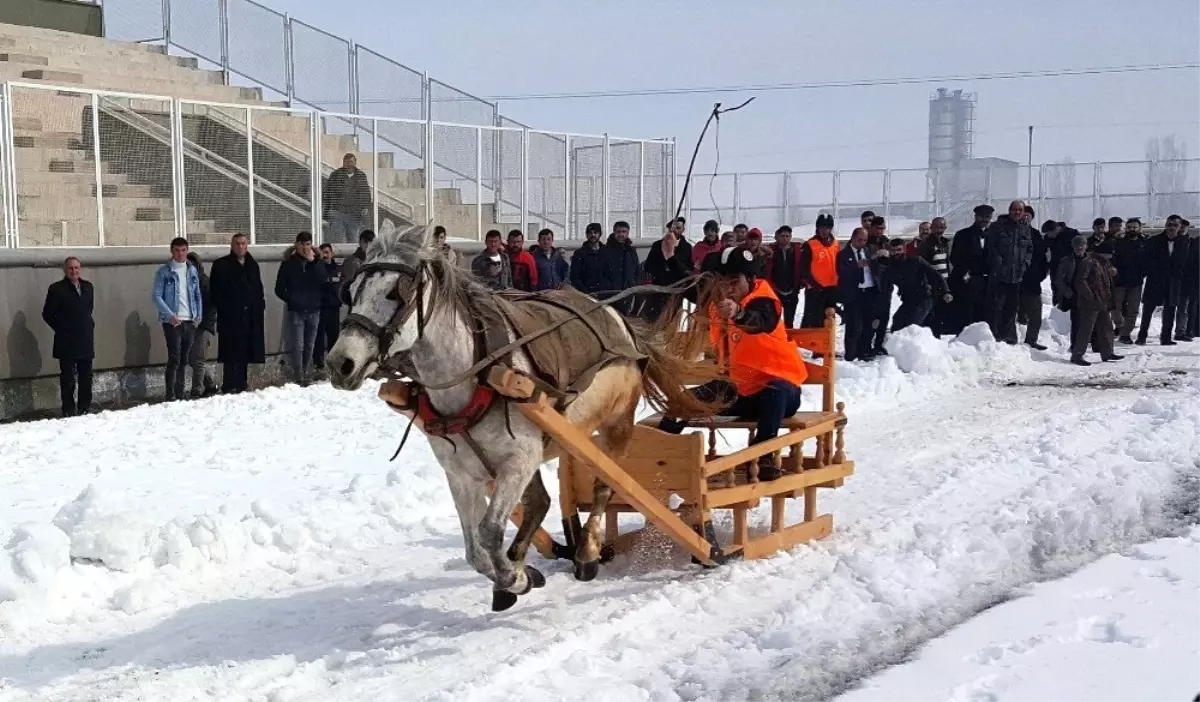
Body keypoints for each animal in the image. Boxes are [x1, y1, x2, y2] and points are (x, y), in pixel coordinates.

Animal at [324, 224, 715, 607]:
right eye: (352, 290)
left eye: (396, 292)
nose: (339, 363)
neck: (476, 373)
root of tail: (617, 317)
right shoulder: (461, 473)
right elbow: (474, 550)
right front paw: (516, 576)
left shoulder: (517, 461)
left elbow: (489, 532)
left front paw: (517, 578)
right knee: (541, 502)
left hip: (615, 424)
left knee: (606, 485)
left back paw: (588, 552)